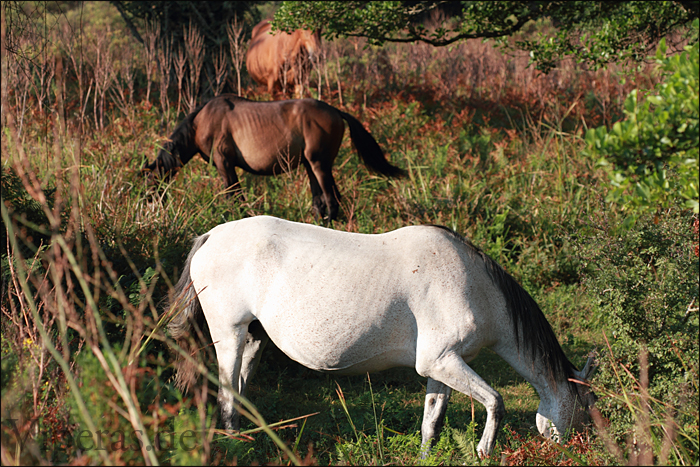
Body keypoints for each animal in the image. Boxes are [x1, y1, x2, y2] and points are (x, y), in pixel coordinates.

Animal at [142, 95, 404, 220]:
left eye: (150, 181)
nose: (147, 205)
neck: (201, 122)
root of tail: (336, 111)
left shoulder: (225, 164)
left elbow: (233, 196)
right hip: (310, 166)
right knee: (321, 201)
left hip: (319, 164)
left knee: (331, 200)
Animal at [167, 215, 597, 457]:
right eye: (587, 409)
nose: (580, 452)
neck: (474, 286)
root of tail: (210, 236)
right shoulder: (443, 361)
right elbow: (495, 402)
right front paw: (483, 451)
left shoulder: (440, 367)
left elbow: (431, 421)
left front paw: (425, 455)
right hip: (229, 334)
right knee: (225, 394)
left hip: (253, 339)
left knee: (239, 390)